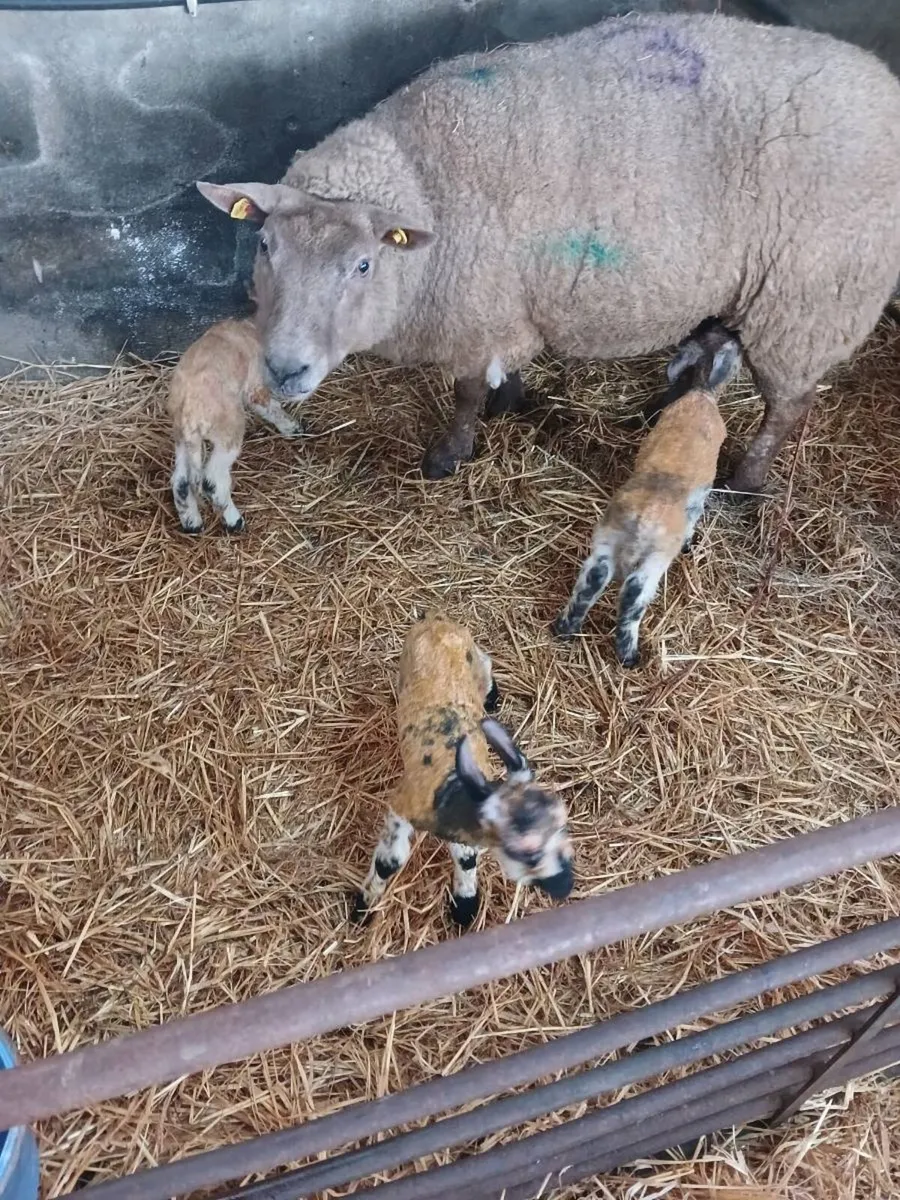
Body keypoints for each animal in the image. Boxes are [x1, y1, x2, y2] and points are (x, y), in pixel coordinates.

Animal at [167, 317, 301, 534]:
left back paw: (192, 524)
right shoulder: (255, 385)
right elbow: (270, 406)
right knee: (212, 480)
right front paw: (291, 427)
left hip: (182, 438)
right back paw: (234, 522)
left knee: (181, 481)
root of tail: (188, 410)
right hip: (228, 432)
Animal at [196, 11, 900, 496]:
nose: (284, 369)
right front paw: (512, 397)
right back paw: (662, 408)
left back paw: (745, 484)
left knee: (790, 404)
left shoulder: (477, 311)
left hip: (809, 300)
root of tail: (885, 86)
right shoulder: (500, 306)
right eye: (265, 245)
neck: (425, 183)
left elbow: (466, 392)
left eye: (363, 265)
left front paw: (449, 455)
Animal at [353, 614, 573, 928]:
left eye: (562, 826)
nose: (565, 886)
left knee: (486, 664)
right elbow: (388, 862)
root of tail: (437, 619)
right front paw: (363, 906)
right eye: (524, 852)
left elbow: (467, 858)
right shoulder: (402, 806)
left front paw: (465, 905)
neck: (451, 786)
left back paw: (491, 697)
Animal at [553, 323, 742, 666]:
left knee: (592, 580)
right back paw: (629, 655)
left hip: (607, 538)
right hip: (653, 560)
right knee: (632, 596)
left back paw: (564, 629)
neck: (702, 392)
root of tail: (643, 519)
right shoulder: (699, 496)